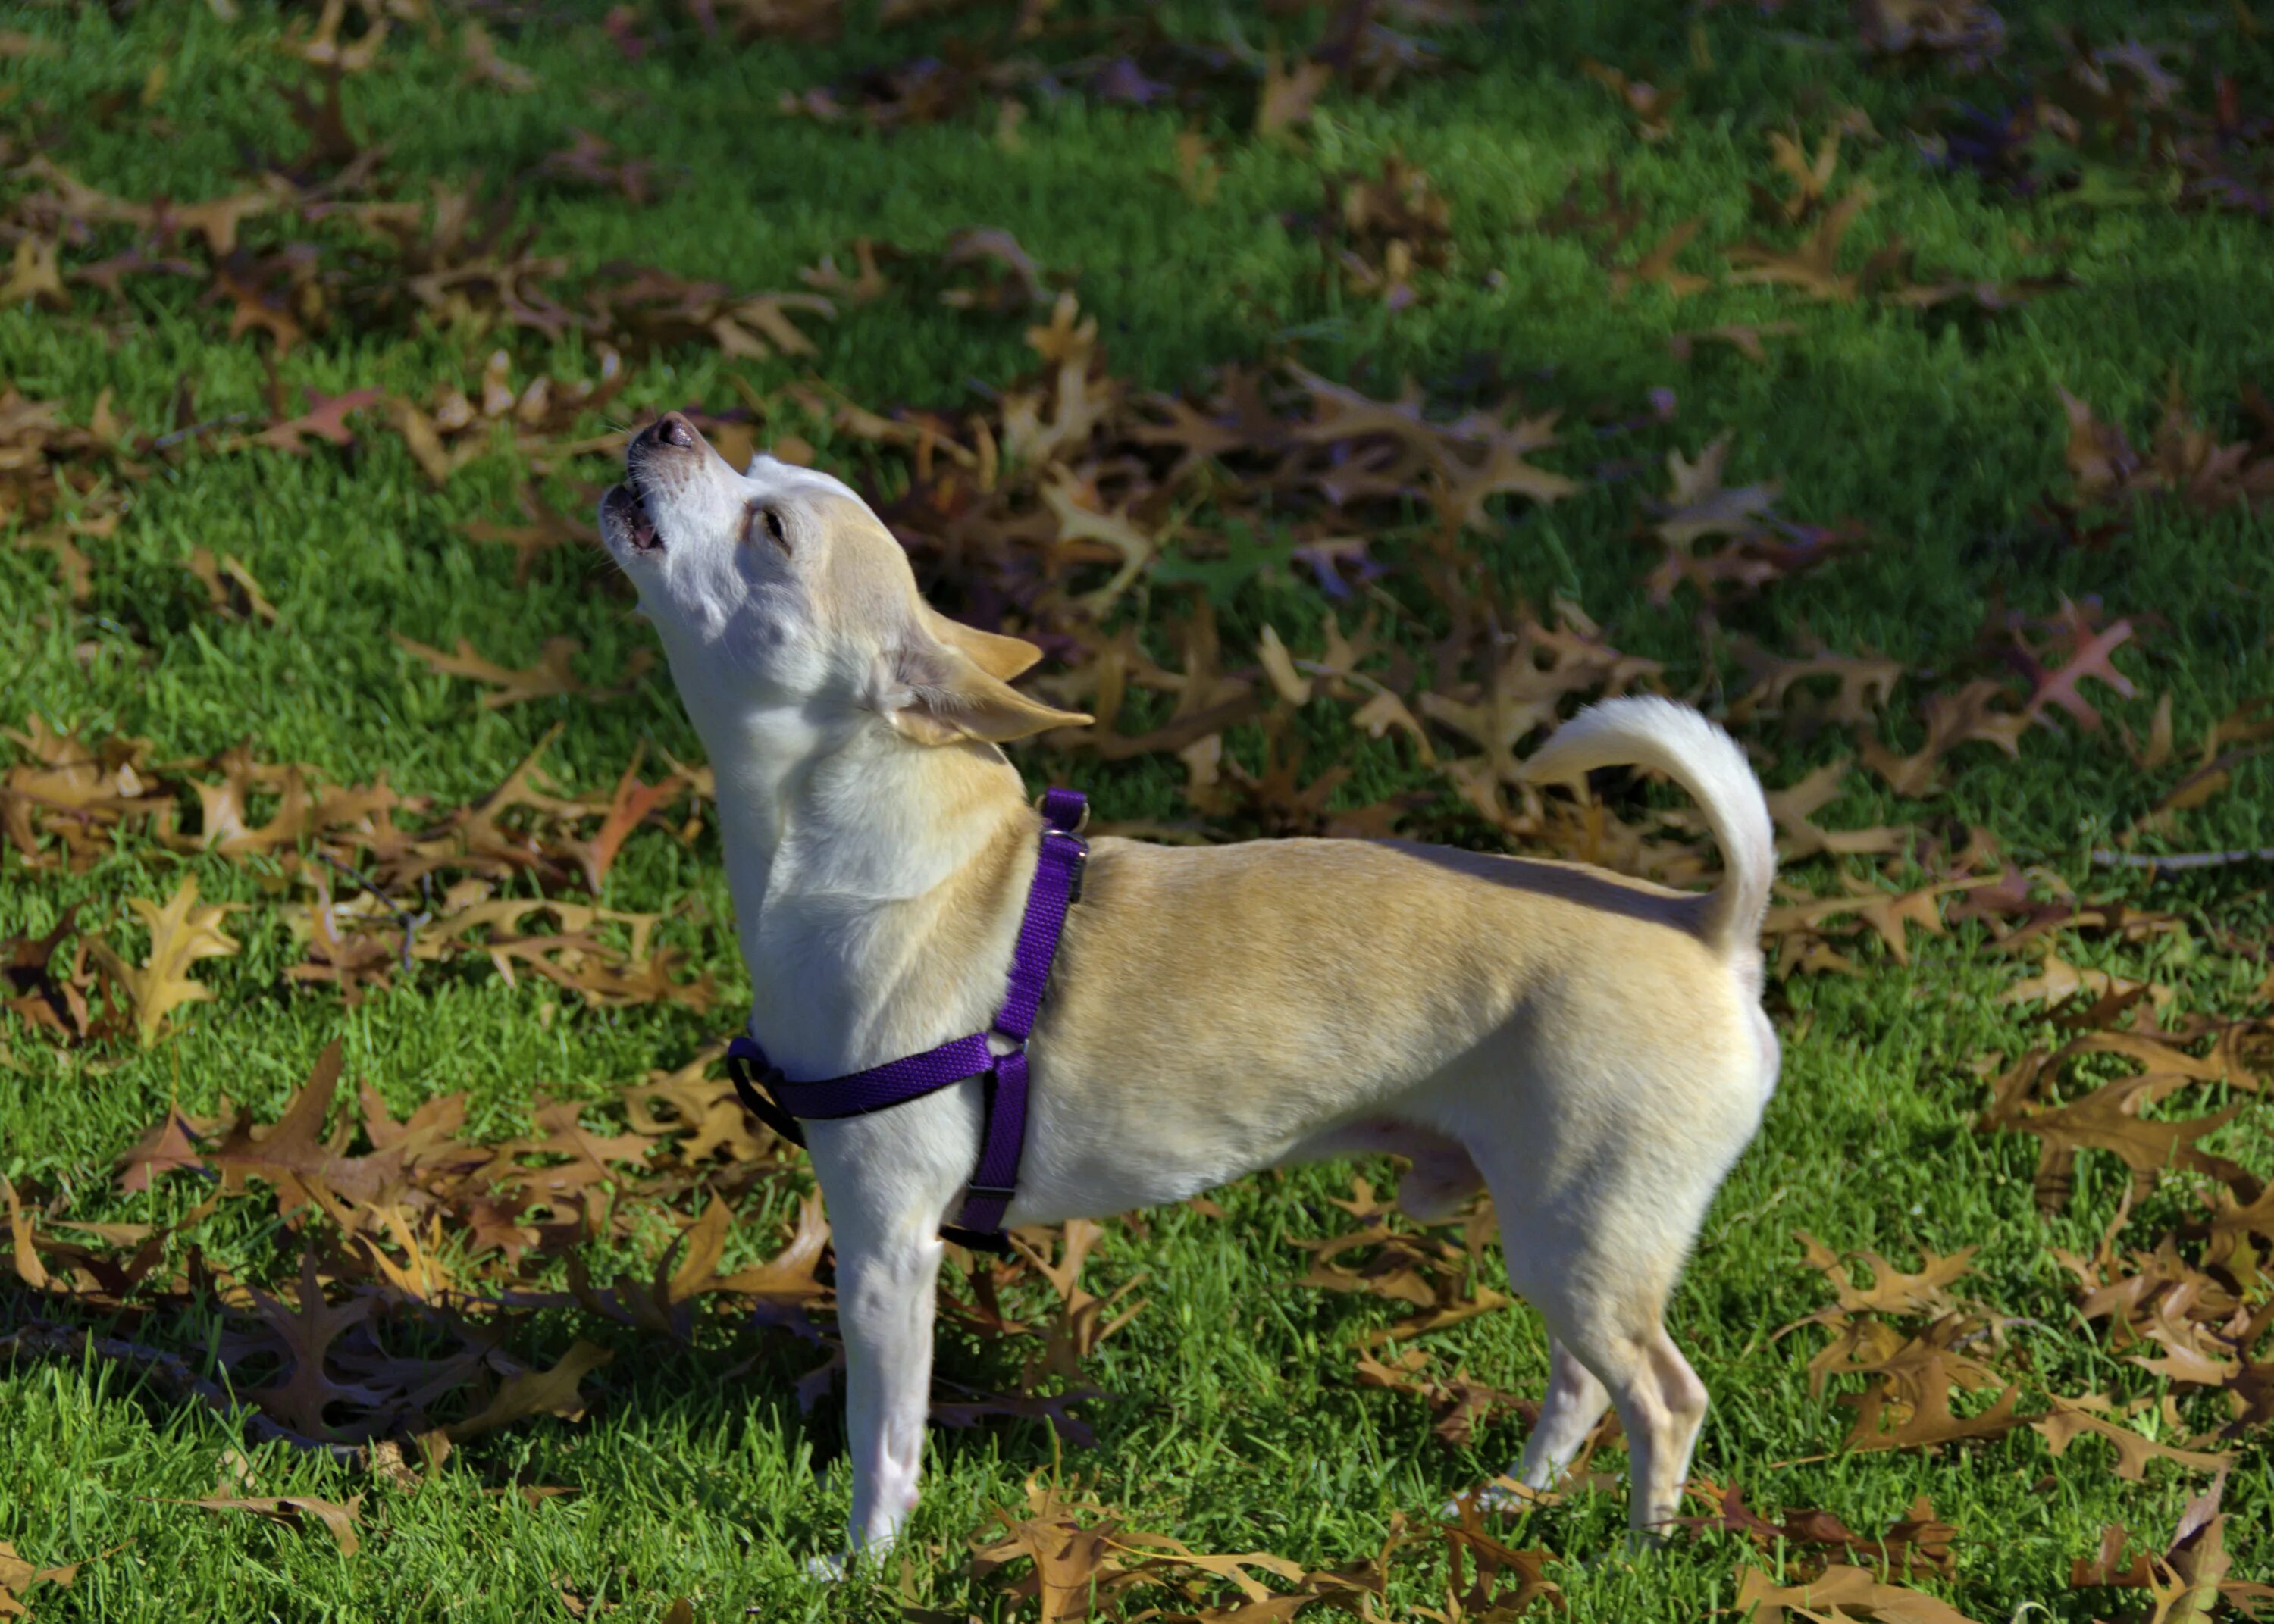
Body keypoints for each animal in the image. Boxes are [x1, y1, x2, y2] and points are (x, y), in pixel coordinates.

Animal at [600, 411, 1774, 1546]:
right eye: (752, 463)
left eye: (771, 530)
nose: (666, 425)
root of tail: (1709, 926)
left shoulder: (888, 1241)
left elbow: (882, 1437)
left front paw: (860, 1563)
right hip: (1567, 1240)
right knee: (1583, 1382)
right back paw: (1508, 1504)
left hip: (1579, 1236)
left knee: (1664, 1396)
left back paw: (1639, 1550)